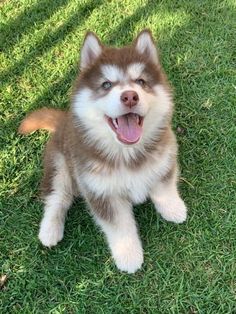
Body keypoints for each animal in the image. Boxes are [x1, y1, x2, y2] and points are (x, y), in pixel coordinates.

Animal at [19, 30, 187, 274]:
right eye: (106, 84)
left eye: (141, 81)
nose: (130, 96)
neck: (126, 153)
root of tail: (63, 121)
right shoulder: (100, 192)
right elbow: (119, 226)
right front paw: (129, 256)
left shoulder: (165, 157)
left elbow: (164, 187)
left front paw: (173, 209)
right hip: (59, 165)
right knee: (57, 197)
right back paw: (50, 230)